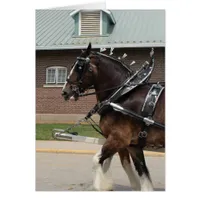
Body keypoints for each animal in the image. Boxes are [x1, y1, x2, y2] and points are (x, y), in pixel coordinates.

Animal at [61, 43, 165, 191]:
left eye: (79, 66)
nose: (65, 91)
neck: (121, 95)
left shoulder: (118, 138)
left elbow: (97, 159)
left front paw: (102, 186)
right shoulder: (133, 145)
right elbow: (141, 171)